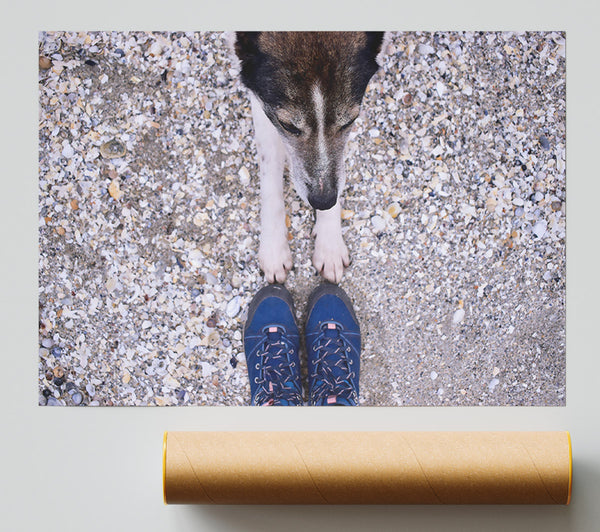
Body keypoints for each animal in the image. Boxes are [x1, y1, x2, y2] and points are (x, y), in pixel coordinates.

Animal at [232, 30, 386, 282]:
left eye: (350, 121)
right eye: (288, 125)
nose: (323, 202)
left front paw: (330, 244)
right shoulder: (262, 100)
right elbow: (269, 168)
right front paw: (274, 247)